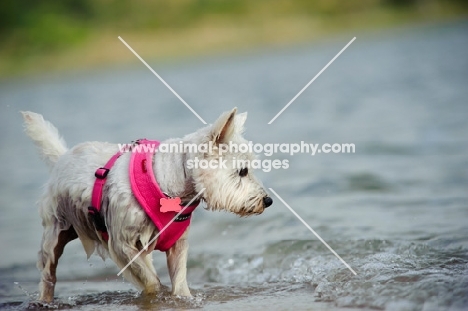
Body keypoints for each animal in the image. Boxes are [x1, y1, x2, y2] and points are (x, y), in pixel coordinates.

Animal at [21, 108, 270, 304]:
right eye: (242, 171)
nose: (268, 201)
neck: (170, 183)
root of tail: (61, 158)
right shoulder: (121, 243)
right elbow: (151, 280)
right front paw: (155, 294)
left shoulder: (177, 245)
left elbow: (179, 279)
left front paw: (182, 298)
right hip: (55, 229)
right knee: (48, 272)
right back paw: (45, 298)